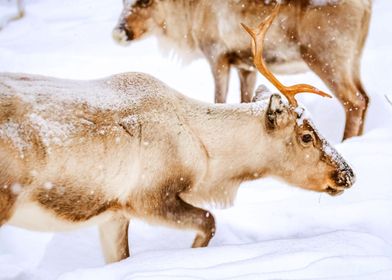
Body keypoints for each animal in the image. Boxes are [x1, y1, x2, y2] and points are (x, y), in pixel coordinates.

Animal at [114, 0, 374, 140]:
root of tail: (366, 6)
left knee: (354, 101)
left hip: (327, 57)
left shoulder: (217, 55)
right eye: (123, 2)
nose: (118, 33)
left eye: (146, 1)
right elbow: (245, 100)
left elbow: (219, 100)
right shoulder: (246, 66)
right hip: (353, 58)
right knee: (365, 98)